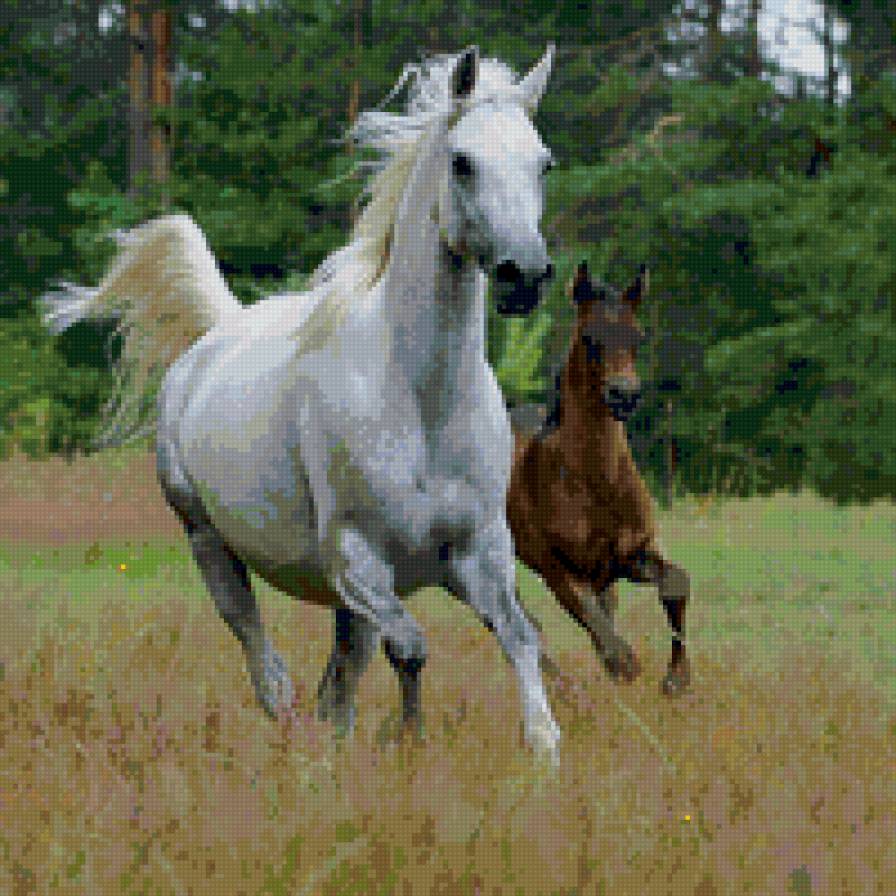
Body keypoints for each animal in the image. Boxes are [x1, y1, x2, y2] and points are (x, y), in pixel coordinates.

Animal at [43, 46, 563, 764]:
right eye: (462, 161)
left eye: (544, 162)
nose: (525, 275)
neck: (421, 405)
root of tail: (212, 339)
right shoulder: (356, 558)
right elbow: (412, 648)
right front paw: (411, 745)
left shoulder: (478, 551)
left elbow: (520, 637)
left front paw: (543, 750)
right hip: (209, 544)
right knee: (271, 671)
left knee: (336, 684)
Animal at [507, 262, 691, 696]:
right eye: (590, 338)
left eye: (638, 336)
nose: (624, 395)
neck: (596, 483)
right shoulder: (558, 569)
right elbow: (598, 625)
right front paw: (626, 666)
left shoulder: (630, 556)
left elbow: (676, 583)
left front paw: (676, 680)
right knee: (519, 622)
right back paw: (564, 688)